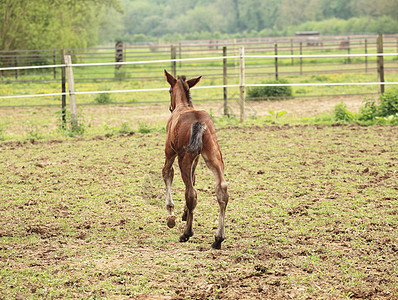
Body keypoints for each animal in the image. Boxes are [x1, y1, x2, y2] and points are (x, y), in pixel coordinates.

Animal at [162, 69, 230, 248]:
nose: (170, 107)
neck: (183, 106)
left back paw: (186, 234)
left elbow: (167, 173)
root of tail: (199, 122)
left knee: (191, 193)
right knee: (221, 189)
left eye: (169, 90)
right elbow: (193, 179)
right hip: (214, 156)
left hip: (184, 158)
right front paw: (185, 213)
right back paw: (218, 238)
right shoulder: (197, 159)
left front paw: (171, 215)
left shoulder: (170, 152)